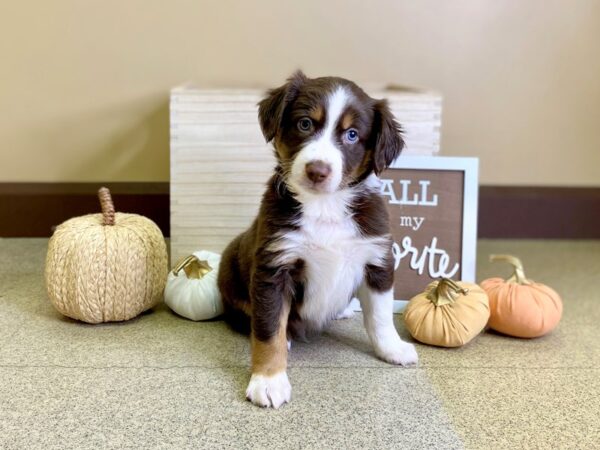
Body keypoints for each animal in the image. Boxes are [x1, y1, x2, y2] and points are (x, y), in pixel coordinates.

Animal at [218, 71, 420, 408]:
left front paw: (392, 348)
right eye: (305, 124)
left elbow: (380, 316)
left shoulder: (376, 258)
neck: (326, 206)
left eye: (352, 135)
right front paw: (269, 380)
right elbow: (268, 328)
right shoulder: (274, 265)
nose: (317, 170)